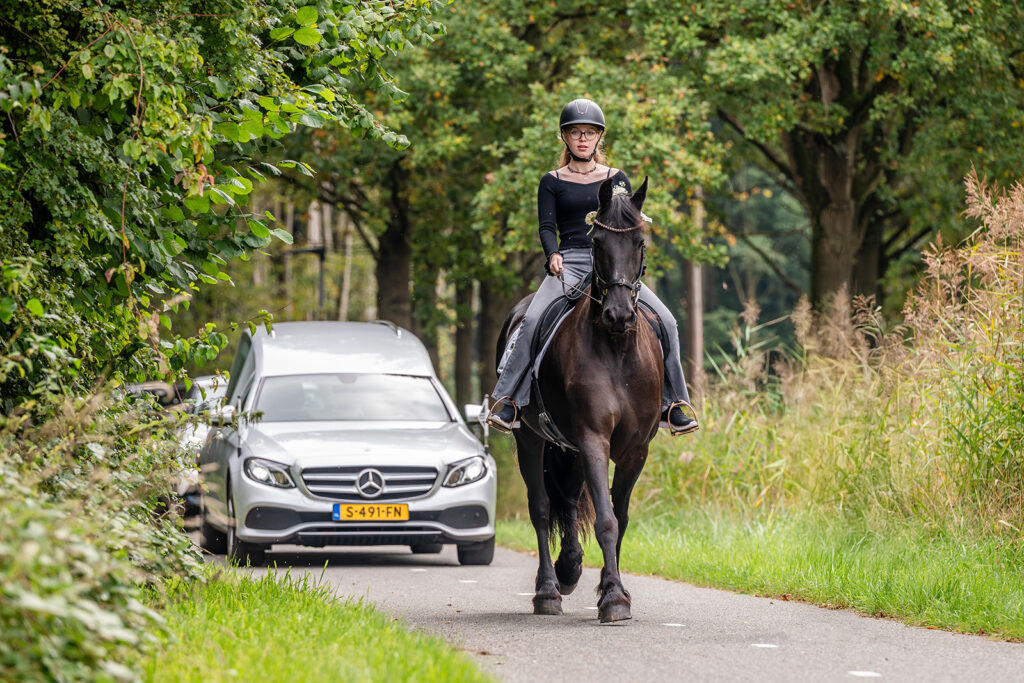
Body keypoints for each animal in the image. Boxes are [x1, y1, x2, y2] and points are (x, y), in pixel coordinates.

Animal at [496, 176, 663, 623]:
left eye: (640, 241)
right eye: (598, 243)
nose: (619, 315)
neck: (616, 350)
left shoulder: (635, 448)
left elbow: (619, 517)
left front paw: (612, 589)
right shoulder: (592, 438)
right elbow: (604, 519)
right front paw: (614, 598)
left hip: (566, 447)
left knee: (569, 502)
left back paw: (569, 569)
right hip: (531, 439)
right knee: (540, 508)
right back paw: (548, 591)